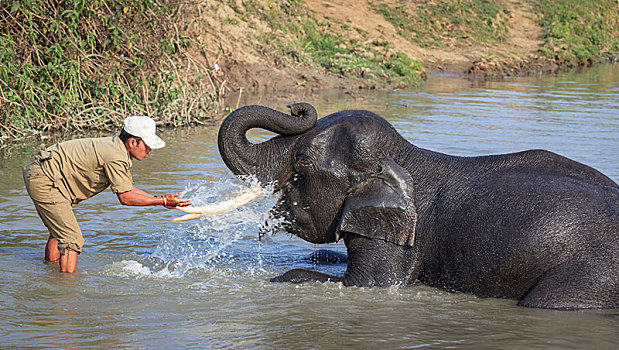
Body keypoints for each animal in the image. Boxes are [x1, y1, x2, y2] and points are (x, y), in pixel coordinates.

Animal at [218, 102, 619, 308]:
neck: (406, 155)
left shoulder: (403, 233)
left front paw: (279, 278)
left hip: (588, 278)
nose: (297, 107)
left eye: (300, 162)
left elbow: (371, 284)